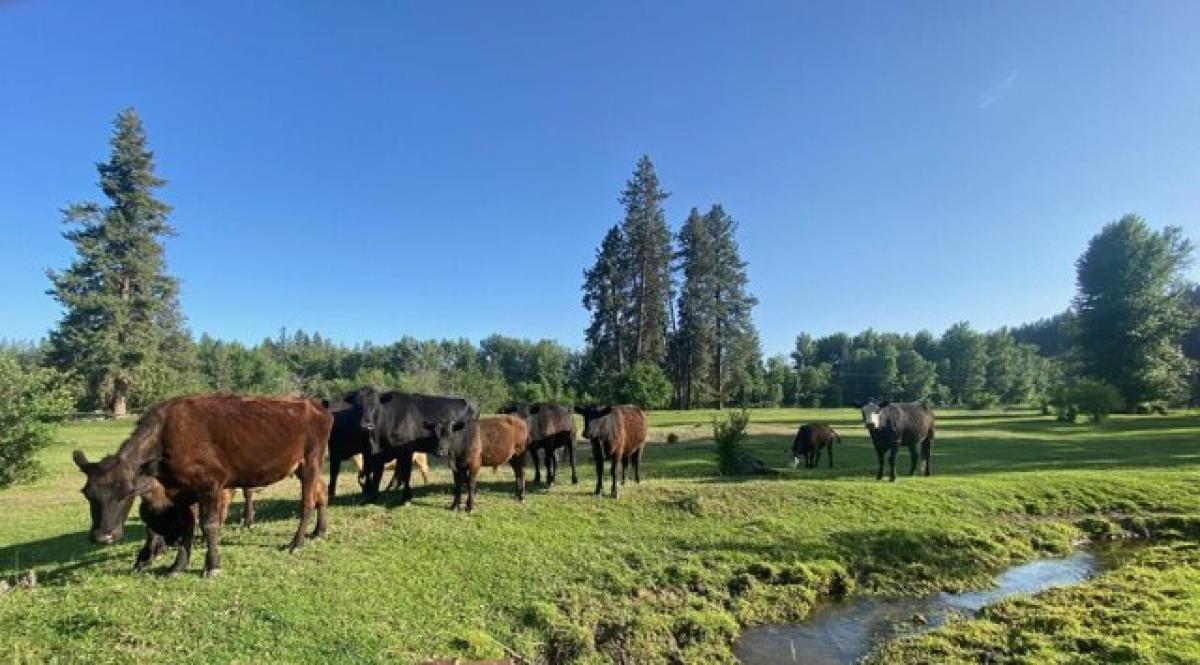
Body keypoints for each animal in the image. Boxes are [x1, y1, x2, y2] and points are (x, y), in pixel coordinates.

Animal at [73, 393, 333, 573]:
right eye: (87, 494)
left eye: (127, 492)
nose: (103, 537)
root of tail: (316, 405)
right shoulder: (182, 493)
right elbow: (188, 525)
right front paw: (177, 566)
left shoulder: (210, 484)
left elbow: (209, 524)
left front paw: (212, 565)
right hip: (300, 466)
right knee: (321, 492)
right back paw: (319, 531)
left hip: (311, 460)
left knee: (307, 502)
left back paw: (296, 542)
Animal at [340, 384, 475, 501]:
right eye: (357, 405)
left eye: (376, 404)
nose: (366, 425)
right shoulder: (376, 454)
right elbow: (376, 475)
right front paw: (373, 497)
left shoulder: (406, 451)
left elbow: (405, 474)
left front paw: (406, 497)